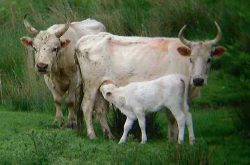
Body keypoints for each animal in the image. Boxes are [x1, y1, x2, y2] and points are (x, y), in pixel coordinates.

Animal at [75, 21, 226, 141]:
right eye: (191, 58)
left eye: (209, 59)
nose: (198, 80)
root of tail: (84, 39)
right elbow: (172, 116)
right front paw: (174, 138)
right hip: (91, 84)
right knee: (87, 107)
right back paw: (92, 135)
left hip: (102, 84)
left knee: (100, 109)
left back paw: (109, 135)